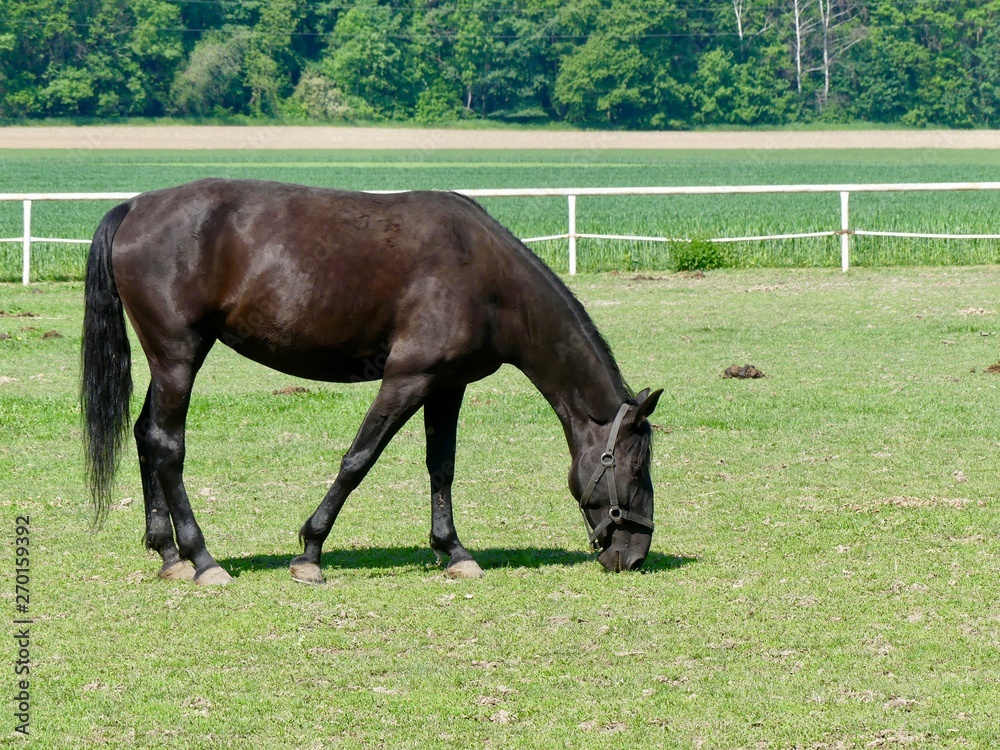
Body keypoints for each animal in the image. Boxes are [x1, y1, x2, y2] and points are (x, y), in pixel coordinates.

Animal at [81, 178, 662, 585]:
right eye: (633, 468)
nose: (633, 557)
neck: (485, 277)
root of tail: (134, 208)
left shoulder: (447, 386)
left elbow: (442, 467)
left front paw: (453, 551)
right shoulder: (407, 379)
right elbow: (358, 460)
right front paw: (310, 553)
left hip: (172, 361)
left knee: (146, 435)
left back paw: (168, 553)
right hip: (179, 356)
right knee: (167, 445)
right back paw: (202, 559)